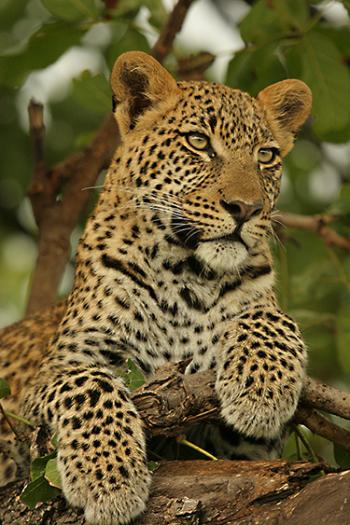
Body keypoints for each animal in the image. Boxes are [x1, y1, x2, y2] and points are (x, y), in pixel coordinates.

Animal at [0, 50, 312, 524]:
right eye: (199, 142)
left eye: (266, 156)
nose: (246, 208)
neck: (190, 277)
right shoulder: (44, 383)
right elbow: (88, 383)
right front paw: (109, 478)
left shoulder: (245, 452)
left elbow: (269, 316)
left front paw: (262, 390)